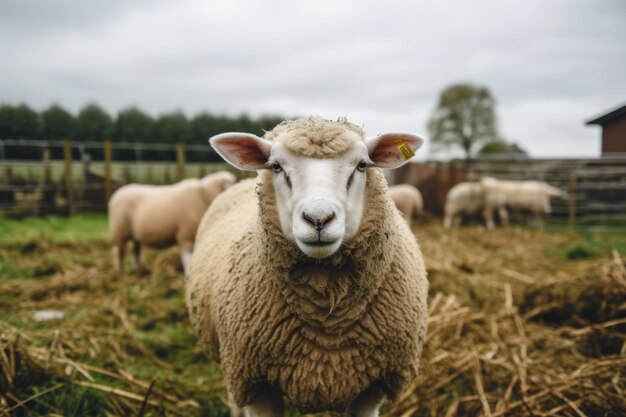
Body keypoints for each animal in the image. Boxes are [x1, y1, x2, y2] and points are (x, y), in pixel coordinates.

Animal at [106, 169, 235, 272]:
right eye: (229, 183)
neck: (204, 193)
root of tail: (117, 193)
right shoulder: (185, 234)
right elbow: (188, 258)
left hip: (135, 235)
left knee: (135, 251)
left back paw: (139, 270)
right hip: (120, 230)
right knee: (118, 251)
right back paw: (120, 271)